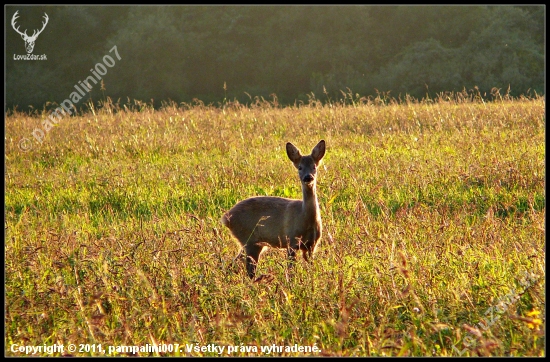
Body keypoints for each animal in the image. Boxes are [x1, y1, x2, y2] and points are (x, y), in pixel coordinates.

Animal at [221, 140, 326, 278]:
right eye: (300, 167)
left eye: (314, 166)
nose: (308, 177)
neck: (305, 219)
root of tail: (226, 218)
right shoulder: (291, 241)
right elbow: (290, 270)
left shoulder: (312, 245)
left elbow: (310, 267)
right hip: (249, 239)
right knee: (249, 271)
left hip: (253, 243)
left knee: (234, 263)